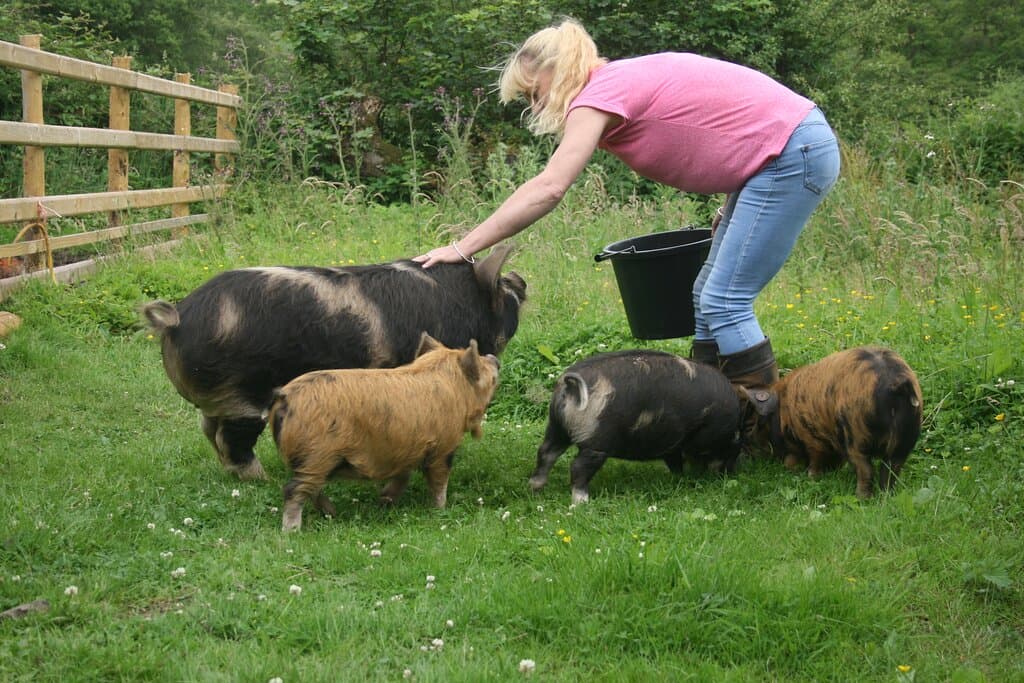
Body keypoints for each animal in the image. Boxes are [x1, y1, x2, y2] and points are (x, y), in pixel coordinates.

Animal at [142, 246, 525, 481]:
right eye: (504, 289)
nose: (520, 279)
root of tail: (176, 320)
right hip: (242, 394)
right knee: (230, 439)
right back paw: (260, 478)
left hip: (220, 396)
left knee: (208, 429)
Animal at [266, 333, 500, 531]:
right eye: (485, 369)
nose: (493, 357)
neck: (456, 389)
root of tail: (285, 397)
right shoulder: (444, 447)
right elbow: (439, 481)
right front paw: (440, 509)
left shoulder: (405, 449)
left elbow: (403, 476)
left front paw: (385, 501)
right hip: (317, 455)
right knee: (293, 490)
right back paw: (292, 532)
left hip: (315, 461)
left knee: (312, 489)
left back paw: (331, 513)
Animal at [529, 349, 743, 504]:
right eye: (734, 449)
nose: (731, 473)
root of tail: (570, 384)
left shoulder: (671, 444)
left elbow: (675, 463)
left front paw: (680, 479)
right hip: (596, 440)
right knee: (578, 467)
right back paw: (581, 502)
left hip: (557, 427)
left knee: (546, 452)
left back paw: (535, 487)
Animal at [746, 345, 923, 499]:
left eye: (761, 424)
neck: (785, 412)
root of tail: (897, 384)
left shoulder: (812, 440)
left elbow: (815, 459)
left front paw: (811, 476)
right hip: (905, 442)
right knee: (891, 470)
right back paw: (887, 496)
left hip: (857, 436)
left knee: (866, 469)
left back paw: (861, 497)